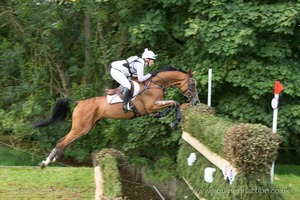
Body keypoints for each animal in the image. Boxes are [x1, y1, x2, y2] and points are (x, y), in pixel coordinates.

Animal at [33, 67, 199, 169]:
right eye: (192, 83)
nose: (196, 101)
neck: (155, 84)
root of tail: (79, 102)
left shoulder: (155, 106)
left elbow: (171, 104)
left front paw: (163, 115)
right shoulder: (151, 106)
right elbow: (175, 102)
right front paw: (175, 121)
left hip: (86, 128)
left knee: (64, 141)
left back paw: (50, 161)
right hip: (81, 127)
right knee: (62, 141)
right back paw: (45, 163)